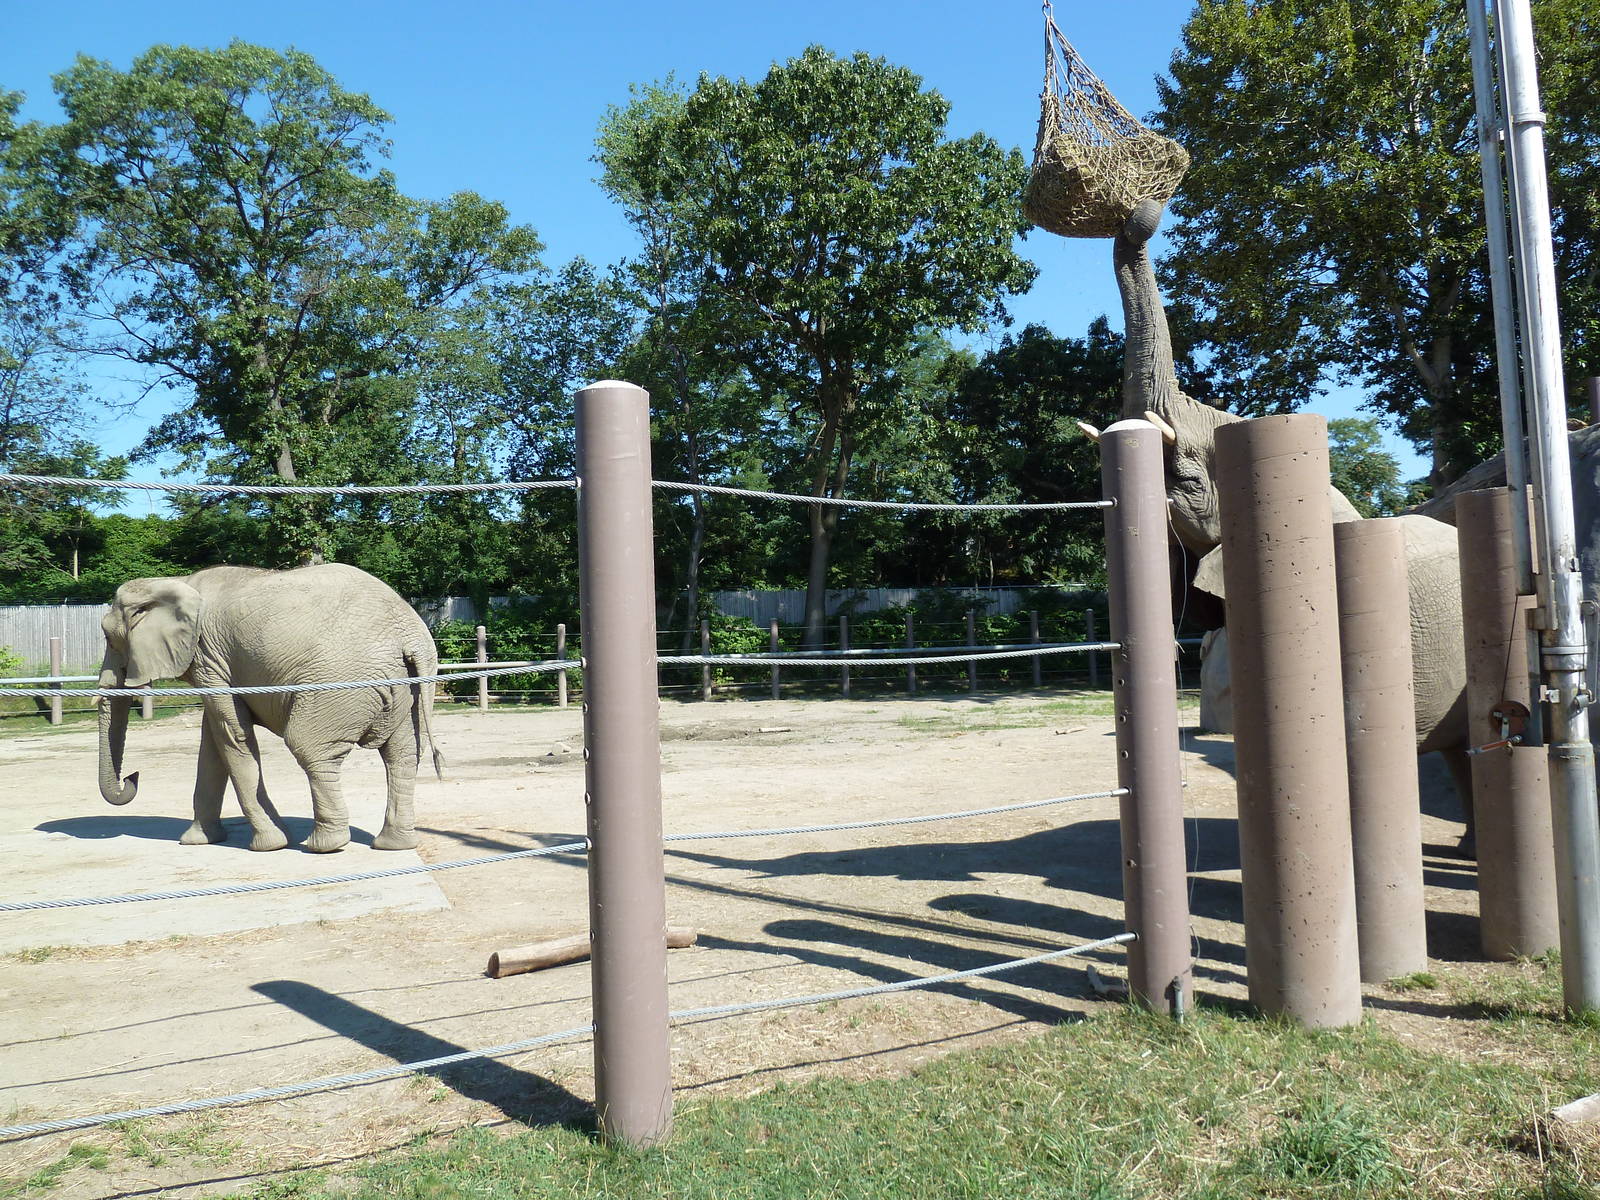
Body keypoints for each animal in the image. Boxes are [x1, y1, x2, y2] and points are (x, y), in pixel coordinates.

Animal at [97, 563, 444, 853]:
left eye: (109, 638)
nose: (133, 776)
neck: (174, 581)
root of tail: (413, 637)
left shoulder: (209, 658)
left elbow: (231, 735)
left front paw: (269, 845)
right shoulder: (215, 663)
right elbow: (213, 741)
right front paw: (197, 841)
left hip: (339, 683)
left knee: (311, 749)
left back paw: (323, 845)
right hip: (406, 687)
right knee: (402, 754)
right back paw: (393, 845)